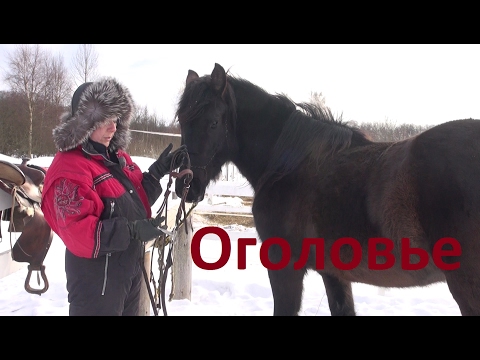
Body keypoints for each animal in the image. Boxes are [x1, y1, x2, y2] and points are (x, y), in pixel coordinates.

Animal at [174, 63, 480, 316]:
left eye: (214, 122)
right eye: (182, 121)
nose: (186, 185)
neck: (288, 165)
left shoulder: (285, 269)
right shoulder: (334, 274)